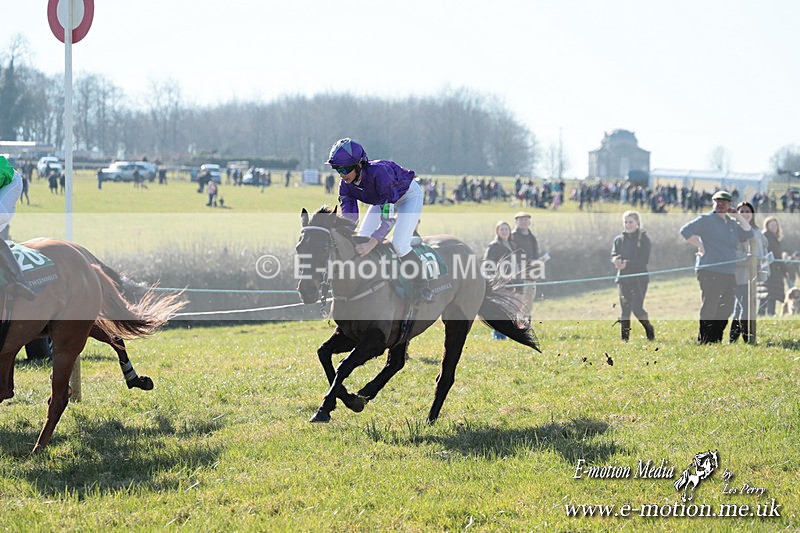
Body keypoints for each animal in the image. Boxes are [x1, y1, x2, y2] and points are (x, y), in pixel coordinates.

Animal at [0, 238, 185, 453]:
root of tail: (88, 264)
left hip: (68, 337)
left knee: (58, 398)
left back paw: (38, 448)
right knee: (114, 337)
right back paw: (134, 379)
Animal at [296, 206, 540, 424]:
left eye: (322, 249)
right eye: (299, 248)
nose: (306, 291)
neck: (357, 283)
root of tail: (471, 254)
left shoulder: (376, 339)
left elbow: (344, 366)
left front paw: (326, 408)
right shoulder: (350, 333)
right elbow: (324, 354)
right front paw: (350, 398)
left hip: (457, 322)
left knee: (445, 373)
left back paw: (430, 417)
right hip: (405, 328)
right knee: (396, 363)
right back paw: (367, 392)